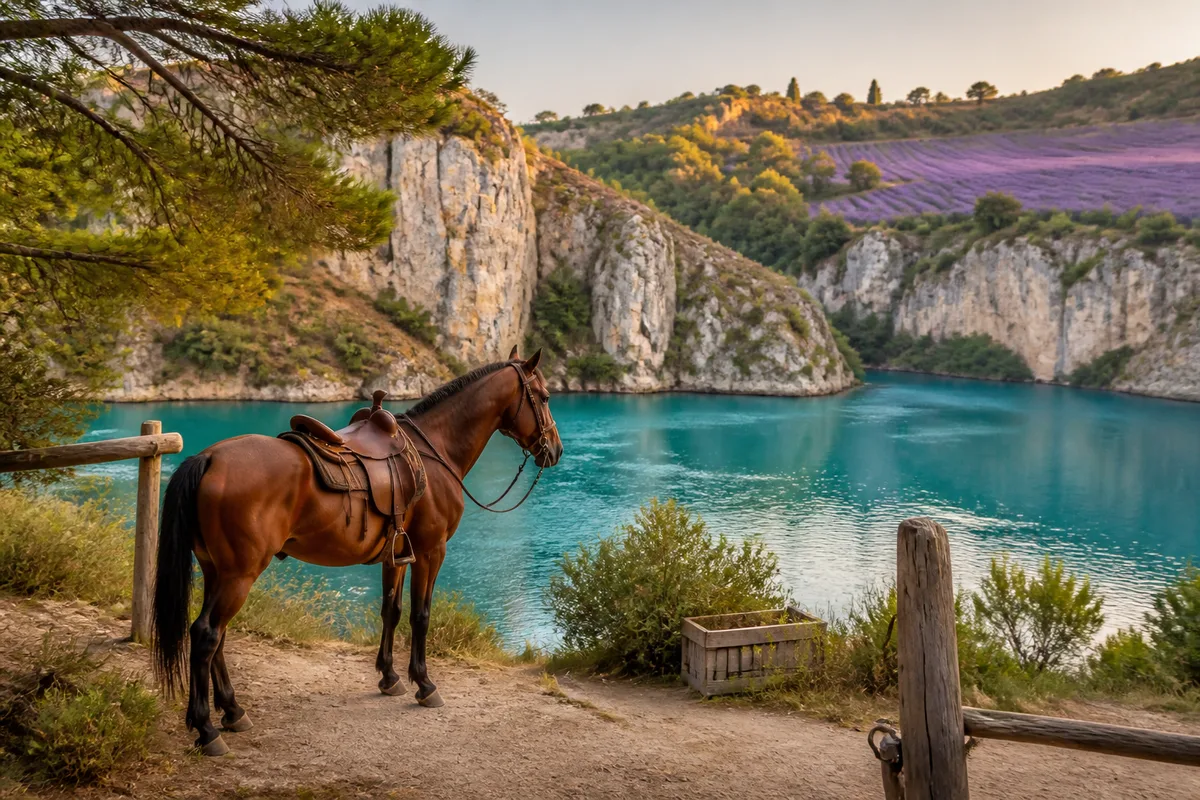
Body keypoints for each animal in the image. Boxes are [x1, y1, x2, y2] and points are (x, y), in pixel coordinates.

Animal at [151, 348, 563, 756]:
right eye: (544, 397)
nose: (555, 449)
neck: (435, 449)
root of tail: (209, 459)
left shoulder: (397, 555)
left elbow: (391, 611)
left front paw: (390, 677)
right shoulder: (432, 551)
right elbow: (421, 616)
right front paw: (424, 684)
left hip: (216, 571)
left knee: (215, 636)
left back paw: (233, 711)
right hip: (239, 575)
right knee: (206, 634)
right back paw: (207, 729)